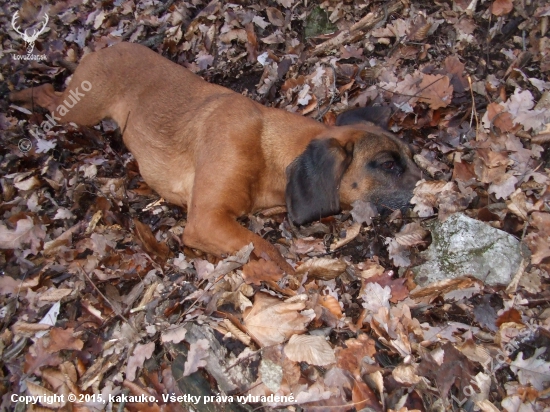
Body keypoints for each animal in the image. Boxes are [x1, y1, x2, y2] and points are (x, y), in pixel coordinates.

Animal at [9, 42, 422, 274]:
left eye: (411, 156)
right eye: (387, 164)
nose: (431, 185)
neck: (266, 149)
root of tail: (101, 48)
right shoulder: (206, 221)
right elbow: (265, 249)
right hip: (78, 111)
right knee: (46, 93)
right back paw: (20, 94)